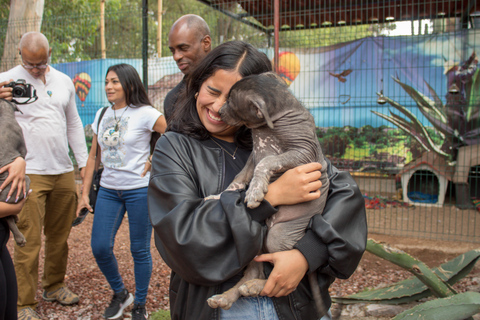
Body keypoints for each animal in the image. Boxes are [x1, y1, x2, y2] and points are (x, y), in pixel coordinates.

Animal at [208, 71, 332, 318]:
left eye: (231, 102)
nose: (219, 112)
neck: (275, 119)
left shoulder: (302, 154)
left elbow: (268, 162)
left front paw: (255, 191)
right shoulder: (253, 157)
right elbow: (237, 180)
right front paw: (218, 197)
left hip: (278, 237)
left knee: (281, 277)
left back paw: (255, 287)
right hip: (256, 242)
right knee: (253, 273)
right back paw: (227, 296)